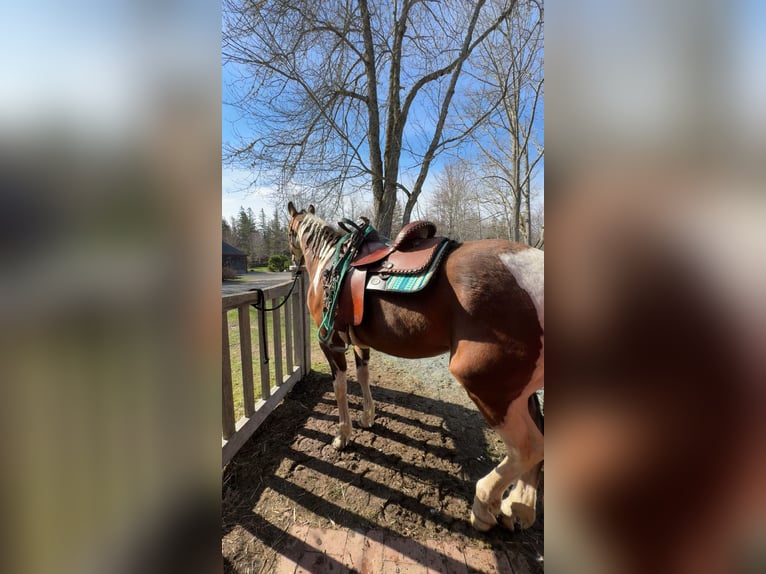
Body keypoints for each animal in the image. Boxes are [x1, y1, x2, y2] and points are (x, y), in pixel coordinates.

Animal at [287, 202, 544, 532]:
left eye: (288, 231)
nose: (291, 264)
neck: (330, 262)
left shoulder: (329, 341)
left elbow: (341, 386)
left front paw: (343, 435)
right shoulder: (359, 342)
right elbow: (363, 375)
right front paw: (368, 417)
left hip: (488, 387)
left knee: (529, 448)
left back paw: (485, 506)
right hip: (520, 391)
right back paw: (518, 506)